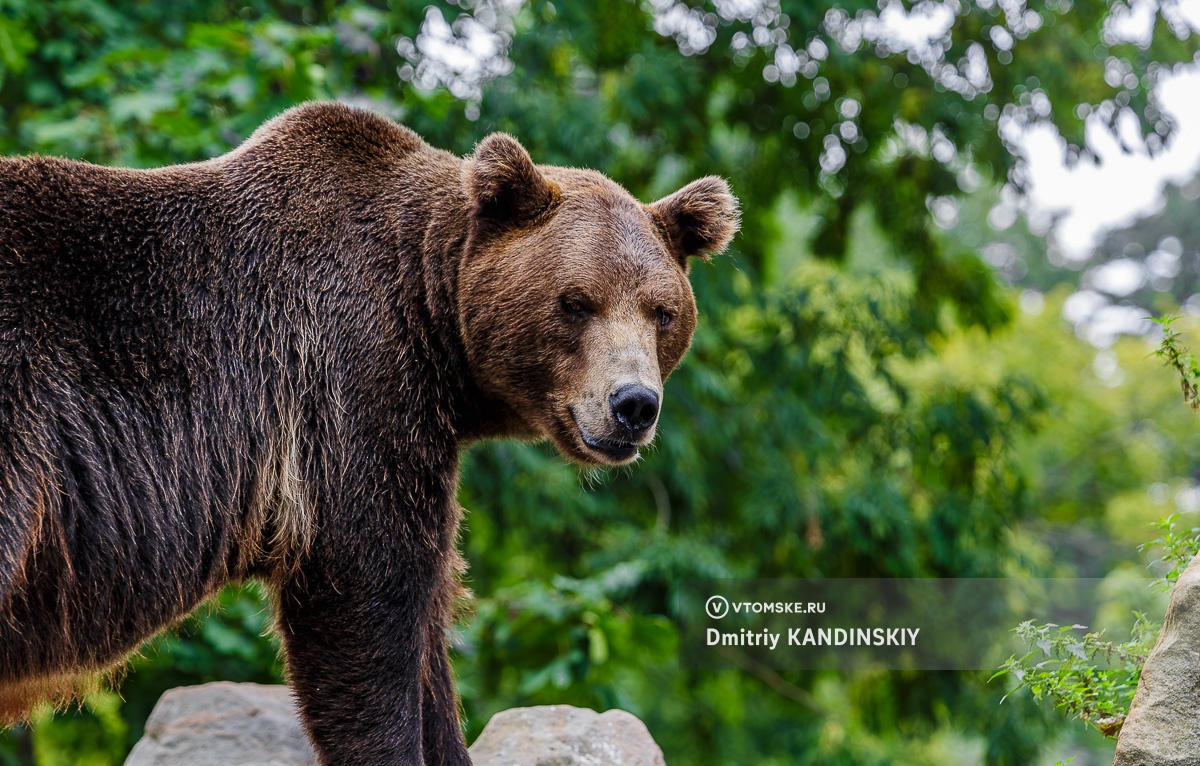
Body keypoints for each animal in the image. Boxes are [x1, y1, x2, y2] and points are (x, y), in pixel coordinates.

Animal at [0, 101, 739, 764]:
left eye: (662, 311)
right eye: (577, 301)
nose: (633, 404)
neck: (433, 320)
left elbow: (428, 623)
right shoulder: (349, 390)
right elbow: (366, 599)